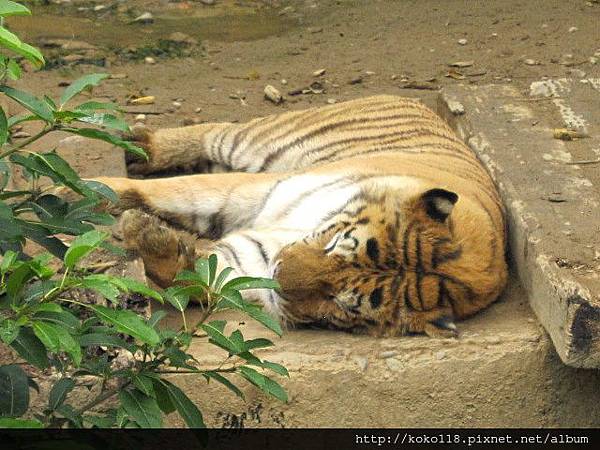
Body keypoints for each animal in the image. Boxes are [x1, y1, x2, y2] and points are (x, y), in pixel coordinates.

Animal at [92, 95, 506, 338]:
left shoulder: (255, 253)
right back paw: (133, 146)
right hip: (253, 140)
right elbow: (167, 191)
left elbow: (204, 273)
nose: (277, 273)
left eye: (344, 304)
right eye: (339, 243)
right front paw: (87, 189)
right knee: (212, 132)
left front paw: (151, 238)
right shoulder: (259, 190)